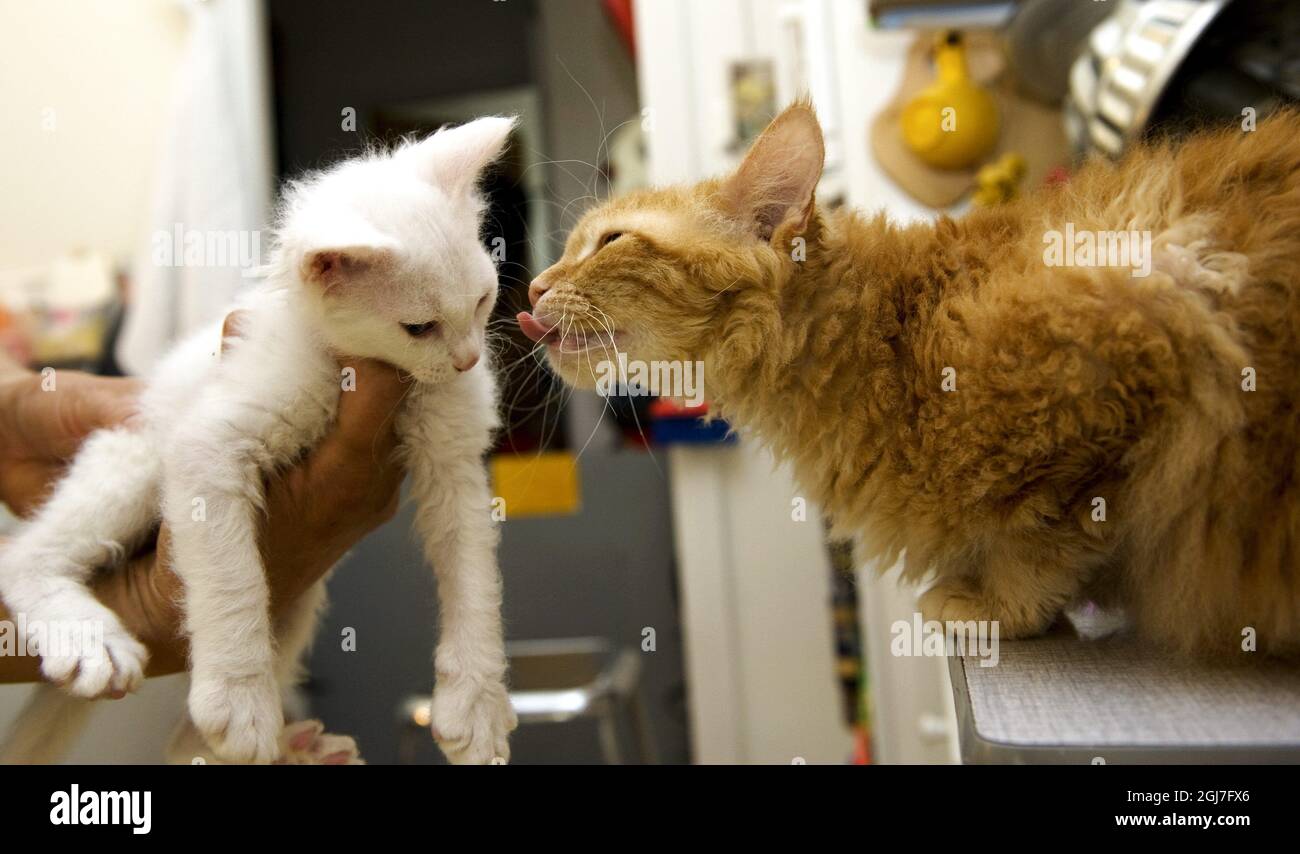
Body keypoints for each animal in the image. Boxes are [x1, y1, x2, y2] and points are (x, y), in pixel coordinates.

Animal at [0, 116, 517, 764]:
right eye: (418, 328)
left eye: (482, 299)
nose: (468, 360)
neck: (361, 368)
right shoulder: (209, 445)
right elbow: (232, 580)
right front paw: (240, 697)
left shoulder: (452, 461)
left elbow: (474, 582)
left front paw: (476, 703)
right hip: (139, 458)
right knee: (21, 558)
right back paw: (88, 637)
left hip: (299, 598)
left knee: (184, 746)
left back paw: (301, 751)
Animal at [520, 103, 1300, 655]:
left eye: (611, 242)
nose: (530, 288)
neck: (900, 333)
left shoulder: (1136, 354)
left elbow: (1043, 541)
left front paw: (997, 607)